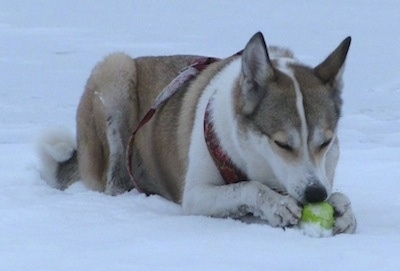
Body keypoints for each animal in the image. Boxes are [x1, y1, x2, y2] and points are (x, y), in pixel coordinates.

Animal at [37, 31, 356, 235]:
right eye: (282, 144)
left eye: (326, 142)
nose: (315, 194)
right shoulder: (195, 195)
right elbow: (248, 187)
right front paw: (276, 205)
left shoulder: (324, 172)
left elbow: (339, 194)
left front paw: (343, 210)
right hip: (115, 71)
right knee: (114, 181)